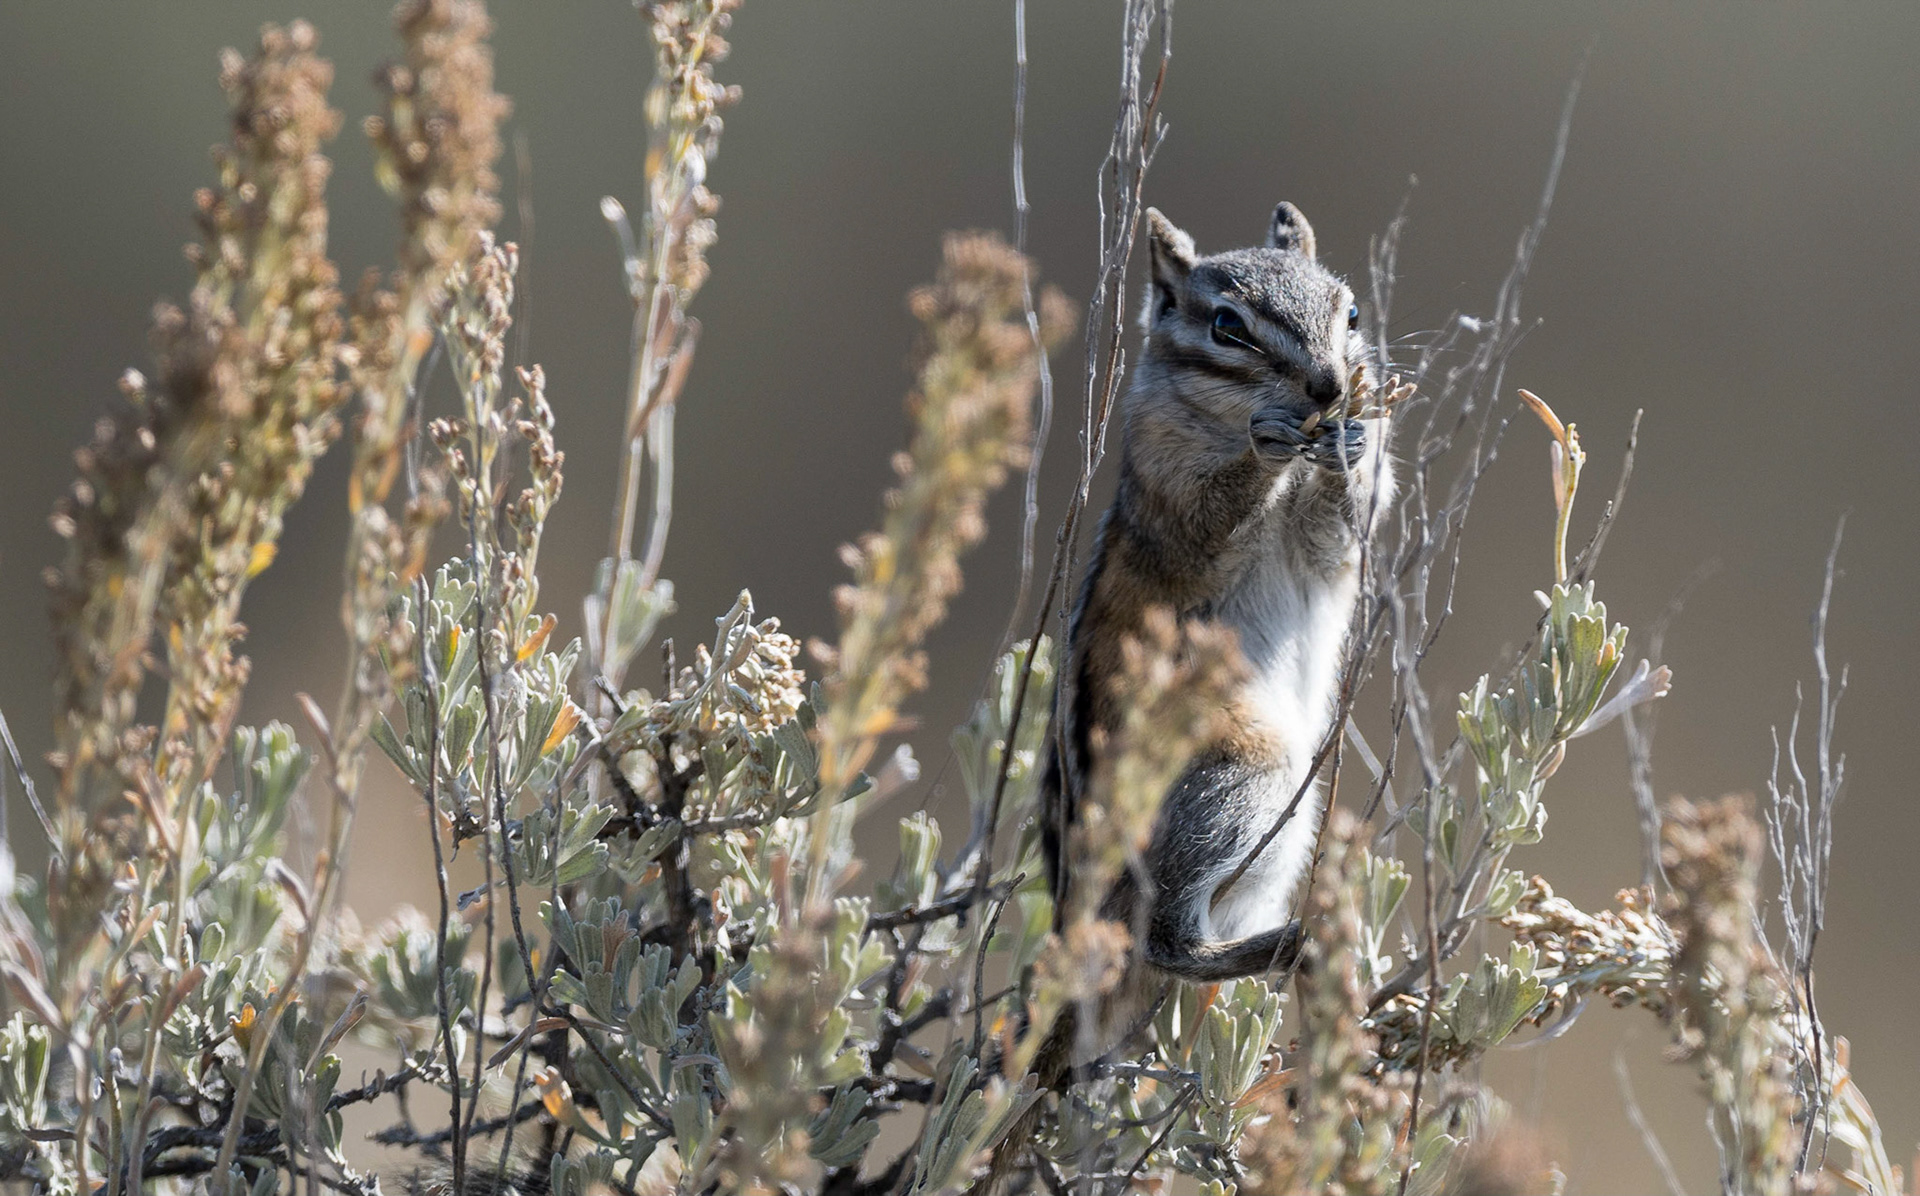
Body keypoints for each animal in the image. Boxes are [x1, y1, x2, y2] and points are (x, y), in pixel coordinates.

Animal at [977, 200, 1394, 1193]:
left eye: (1352, 312)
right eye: (1227, 327)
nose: (1327, 384)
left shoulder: (1329, 536)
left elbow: (1344, 526)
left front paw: (1355, 436)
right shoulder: (1166, 490)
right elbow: (1210, 513)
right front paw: (1267, 446)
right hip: (1244, 773)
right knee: (1170, 939)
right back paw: (1285, 948)